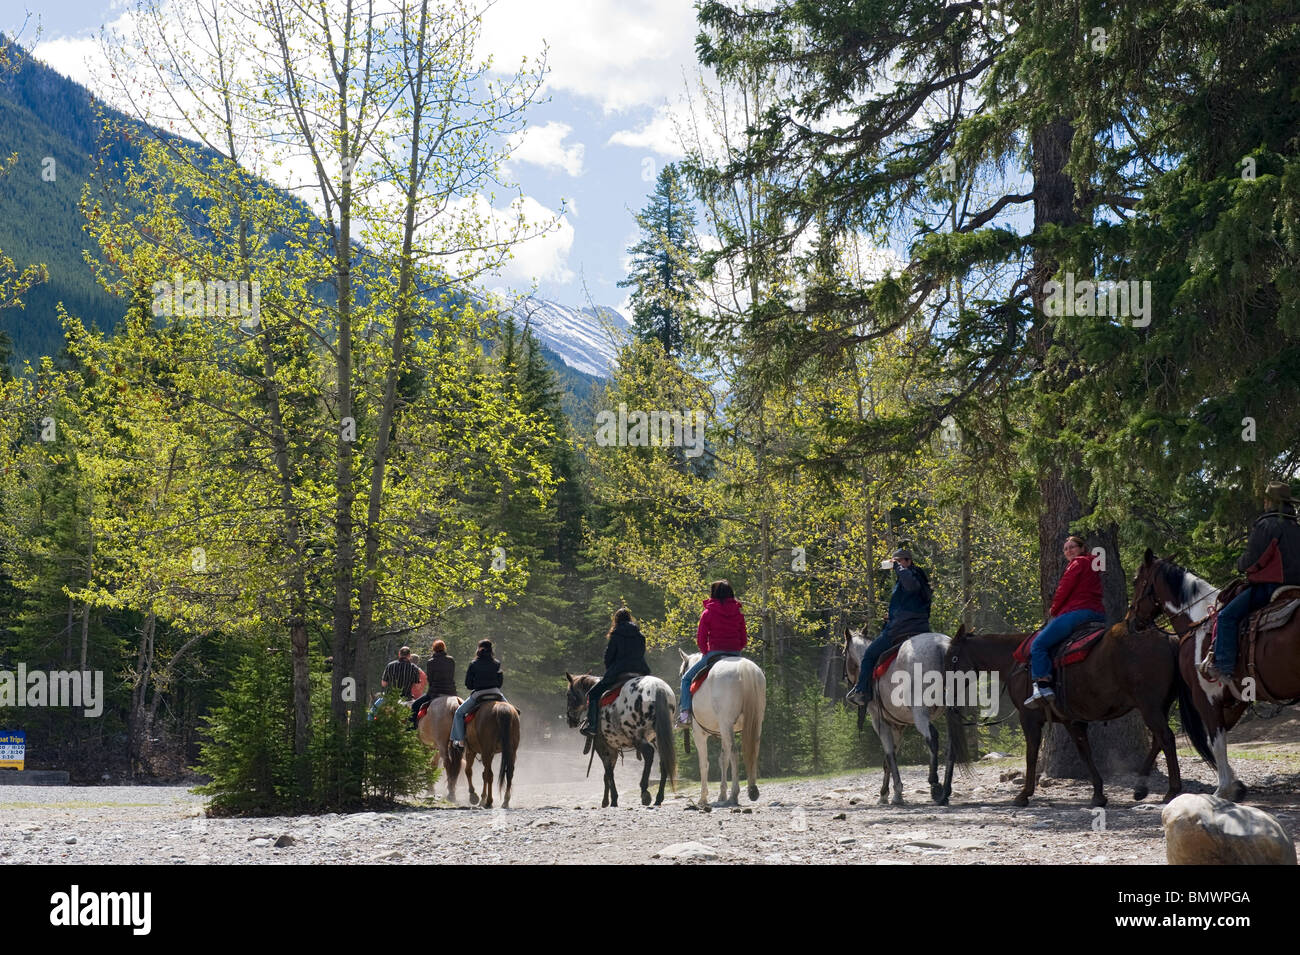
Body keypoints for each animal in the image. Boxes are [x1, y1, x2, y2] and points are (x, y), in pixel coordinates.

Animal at [561, 670, 676, 805]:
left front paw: (612, 799)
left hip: (636, 735)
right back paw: (659, 798)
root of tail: (657, 687)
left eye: (568, 694)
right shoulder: (614, 748)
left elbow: (608, 772)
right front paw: (608, 799)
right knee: (663, 761)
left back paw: (644, 791)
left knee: (648, 753)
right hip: (658, 738)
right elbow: (607, 774)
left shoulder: (603, 746)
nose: (570, 720)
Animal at [676, 649, 764, 805]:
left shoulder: (699, 733)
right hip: (755, 722)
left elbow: (704, 764)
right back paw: (752, 790)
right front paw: (722, 794)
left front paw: (703, 797)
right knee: (752, 750)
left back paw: (734, 795)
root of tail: (745, 668)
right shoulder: (724, 732)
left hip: (726, 723)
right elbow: (723, 760)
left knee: (734, 753)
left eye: (682, 674)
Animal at [842, 628, 967, 805]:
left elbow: (889, 754)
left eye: (844, 653)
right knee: (952, 744)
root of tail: (943, 647)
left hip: (920, 711)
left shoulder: (879, 721)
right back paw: (946, 791)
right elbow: (889, 759)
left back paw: (935, 785)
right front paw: (892, 794)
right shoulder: (898, 726)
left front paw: (889, 793)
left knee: (932, 738)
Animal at [946, 615, 1196, 810]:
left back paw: (1172, 791)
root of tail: (1167, 637)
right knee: (1158, 740)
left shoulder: (1029, 718)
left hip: (1149, 706)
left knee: (1166, 738)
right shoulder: (1071, 720)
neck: (1015, 662)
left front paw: (1023, 795)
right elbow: (1085, 752)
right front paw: (1098, 794)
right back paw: (1140, 789)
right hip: (1159, 706)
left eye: (953, 657)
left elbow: (1031, 754)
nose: (946, 685)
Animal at [1128, 548, 1300, 805]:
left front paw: (1222, 790)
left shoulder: (1205, 696)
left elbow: (1215, 741)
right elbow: (1218, 737)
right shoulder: (1235, 699)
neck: (1197, 621)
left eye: (1136, 581)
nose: (1130, 621)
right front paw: (1236, 785)